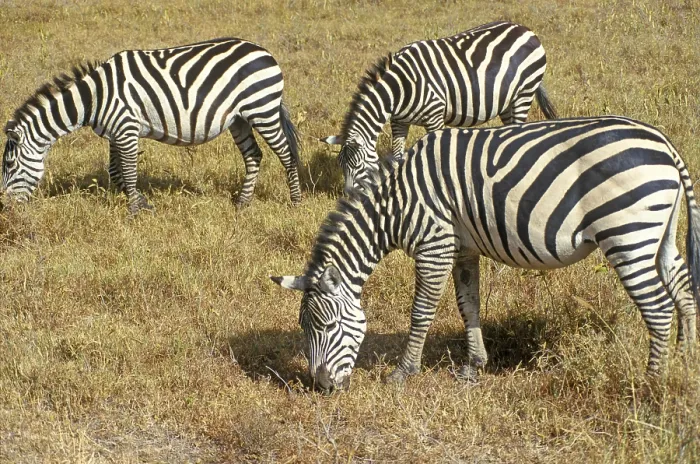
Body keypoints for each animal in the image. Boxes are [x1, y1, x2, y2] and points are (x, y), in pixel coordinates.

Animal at [2, 38, 301, 214]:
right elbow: (116, 171)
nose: (6, 209)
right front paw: (130, 200)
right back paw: (242, 203)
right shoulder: (115, 133)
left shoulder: (127, 129)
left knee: (286, 154)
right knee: (254, 156)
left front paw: (135, 210)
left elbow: (128, 171)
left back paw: (295, 202)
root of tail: (263, 51)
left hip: (262, 109)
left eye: (9, 165)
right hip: (239, 119)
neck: (94, 98)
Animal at [272, 116, 699, 391]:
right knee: (683, 289)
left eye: (326, 326)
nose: (321, 386)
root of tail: (664, 145)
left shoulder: (435, 244)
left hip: (627, 234)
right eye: (304, 329)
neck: (394, 204)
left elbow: (421, 311)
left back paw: (652, 381)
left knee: (659, 307)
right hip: (658, 235)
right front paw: (474, 366)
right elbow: (469, 305)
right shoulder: (463, 248)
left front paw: (404, 372)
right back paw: (686, 360)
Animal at [320, 21, 558, 195]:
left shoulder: (434, 116)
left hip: (523, 93)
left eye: (358, 166)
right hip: (508, 101)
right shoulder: (398, 122)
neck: (401, 88)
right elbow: (397, 156)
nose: (347, 197)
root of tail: (525, 29)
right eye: (341, 166)